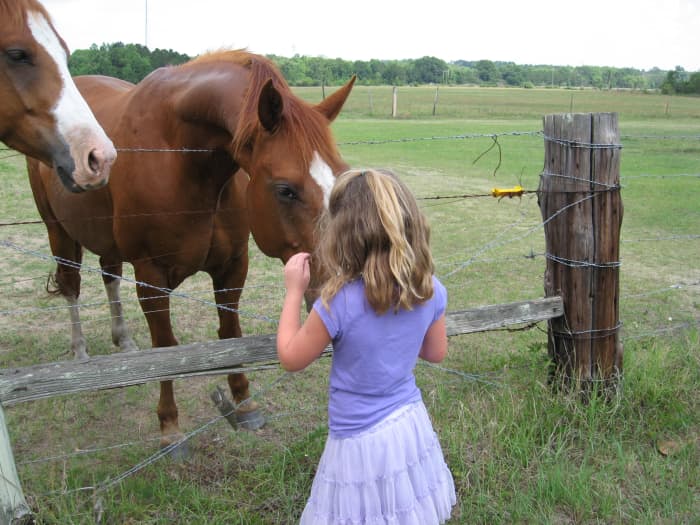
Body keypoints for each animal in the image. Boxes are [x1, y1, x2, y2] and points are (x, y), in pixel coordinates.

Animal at [27, 49, 356, 448]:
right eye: (285, 190)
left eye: (341, 176)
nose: (338, 296)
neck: (182, 157)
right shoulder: (151, 276)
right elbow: (166, 348)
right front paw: (169, 424)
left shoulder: (233, 266)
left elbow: (230, 333)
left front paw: (244, 404)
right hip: (58, 231)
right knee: (71, 285)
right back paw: (80, 354)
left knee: (109, 276)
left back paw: (124, 341)